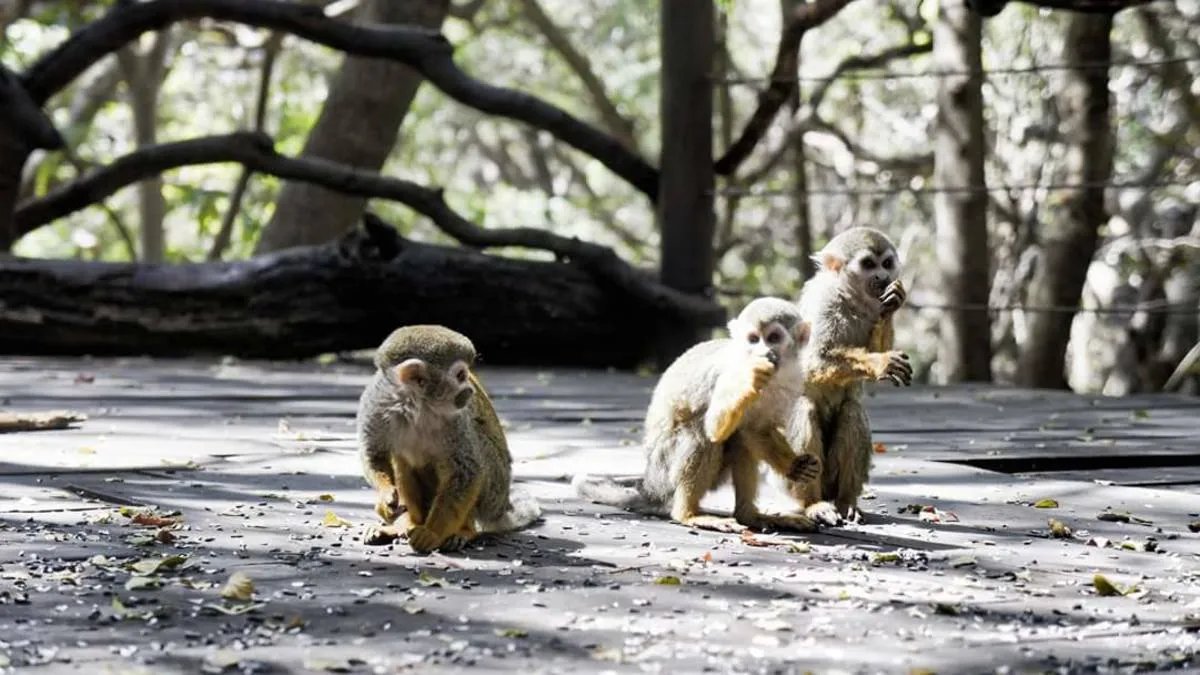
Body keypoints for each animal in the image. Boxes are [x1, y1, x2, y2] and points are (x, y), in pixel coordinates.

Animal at [356, 325, 541, 553]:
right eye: (460, 375)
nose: (469, 389)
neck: (417, 405)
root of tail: (501, 508)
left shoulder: (456, 419)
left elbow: (466, 472)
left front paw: (432, 533)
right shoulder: (376, 403)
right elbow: (374, 454)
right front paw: (386, 495)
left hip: (495, 492)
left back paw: (464, 531)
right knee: (402, 460)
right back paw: (407, 524)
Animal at [572, 297, 823, 534]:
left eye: (773, 338)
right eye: (753, 339)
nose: (761, 353)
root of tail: (651, 482)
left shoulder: (794, 379)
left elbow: (756, 429)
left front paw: (795, 465)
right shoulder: (729, 372)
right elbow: (714, 427)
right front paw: (749, 379)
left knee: (739, 439)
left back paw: (749, 515)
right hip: (665, 467)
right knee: (701, 434)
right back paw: (688, 514)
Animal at [782, 226, 913, 527]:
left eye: (886, 264)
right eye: (868, 264)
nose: (883, 277)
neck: (849, 297)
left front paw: (894, 303)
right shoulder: (824, 302)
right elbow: (814, 360)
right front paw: (882, 363)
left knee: (852, 410)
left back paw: (846, 501)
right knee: (803, 407)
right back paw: (813, 503)